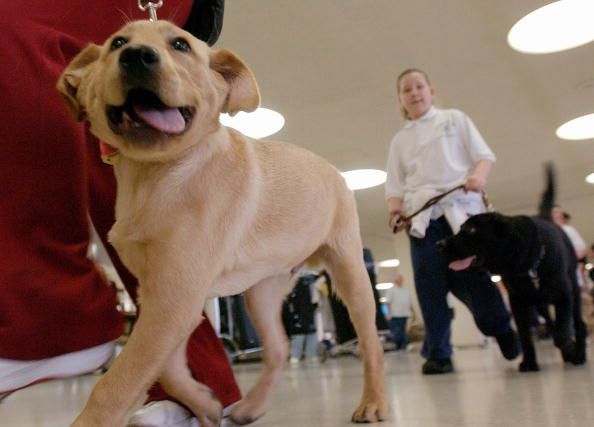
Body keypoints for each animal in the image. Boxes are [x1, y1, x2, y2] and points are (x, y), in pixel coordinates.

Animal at [57, 20, 386, 427]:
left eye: (181, 45)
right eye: (117, 43)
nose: (136, 56)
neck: (156, 174)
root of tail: (333, 170)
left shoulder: (174, 300)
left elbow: (118, 381)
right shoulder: (164, 297)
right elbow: (168, 368)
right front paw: (202, 402)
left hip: (350, 272)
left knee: (371, 343)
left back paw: (373, 401)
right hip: (261, 291)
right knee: (278, 348)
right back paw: (251, 406)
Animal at [438, 166, 584, 372]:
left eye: (472, 230)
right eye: (460, 228)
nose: (439, 244)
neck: (529, 266)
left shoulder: (564, 296)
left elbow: (563, 328)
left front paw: (567, 347)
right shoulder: (518, 302)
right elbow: (525, 335)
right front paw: (529, 362)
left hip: (574, 291)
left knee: (578, 323)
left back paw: (579, 354)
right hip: (538, 302)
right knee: (550, 321)